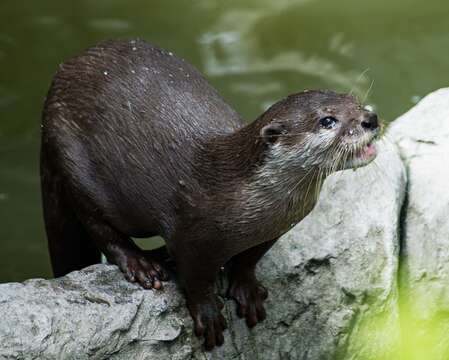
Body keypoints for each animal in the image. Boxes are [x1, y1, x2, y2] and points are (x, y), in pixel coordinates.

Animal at [41, 38, 378, 348]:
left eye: (355, 102)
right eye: (327, 120)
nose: (370, 119)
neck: (244, 199)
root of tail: (54, 87)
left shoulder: (273, 230)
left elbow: (250, 259)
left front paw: (247, 289)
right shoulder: (191, 235)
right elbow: (195, 278)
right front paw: (208, 315)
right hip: (75, 163)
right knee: (98, 225)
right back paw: (141, 265)